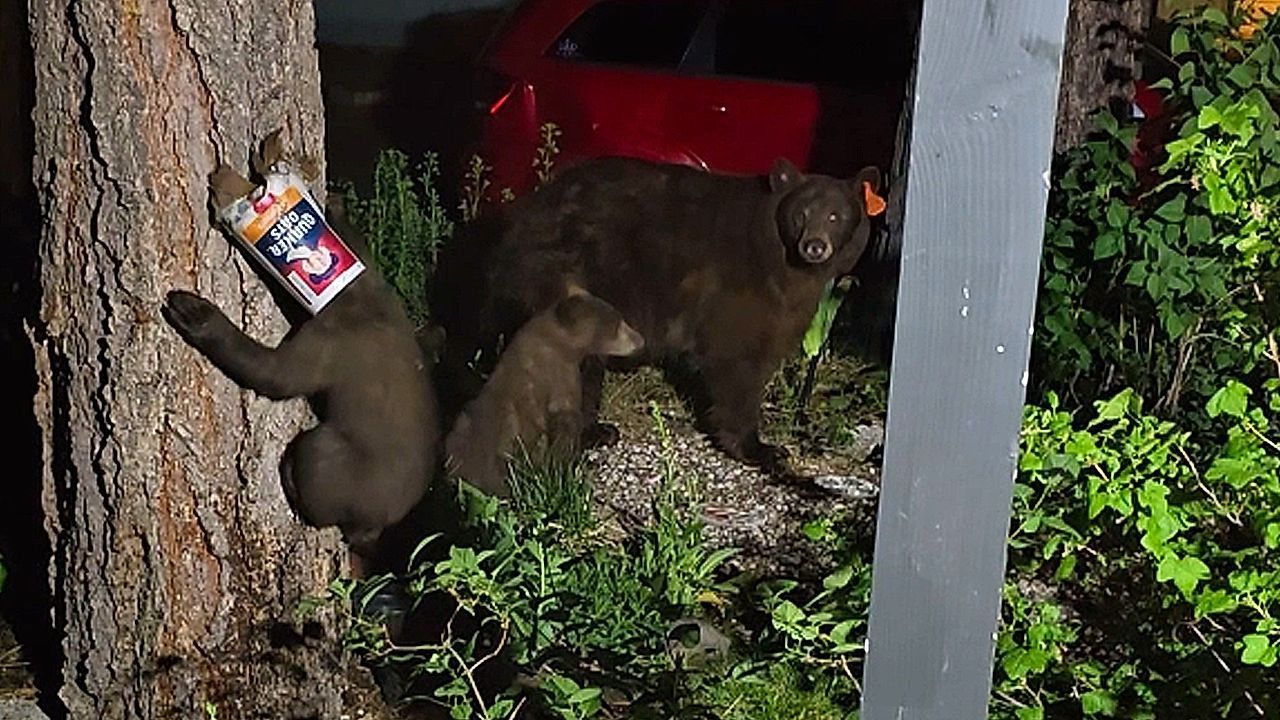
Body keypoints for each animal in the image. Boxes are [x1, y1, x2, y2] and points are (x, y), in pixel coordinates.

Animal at [163, 132, 439, 561]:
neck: (351, 294)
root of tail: (379, 526)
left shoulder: (317, 349)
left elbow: (266, 371)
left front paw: (198, 315)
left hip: (321, 452)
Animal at [431, 155, 884, 472]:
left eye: (836, 215)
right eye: (800, 213)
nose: (814, 246)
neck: (782, 260)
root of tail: (517, 221)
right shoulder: (741, 289)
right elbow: (737, 362)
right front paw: (760, 447)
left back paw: (594, 430)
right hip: (565, 280)